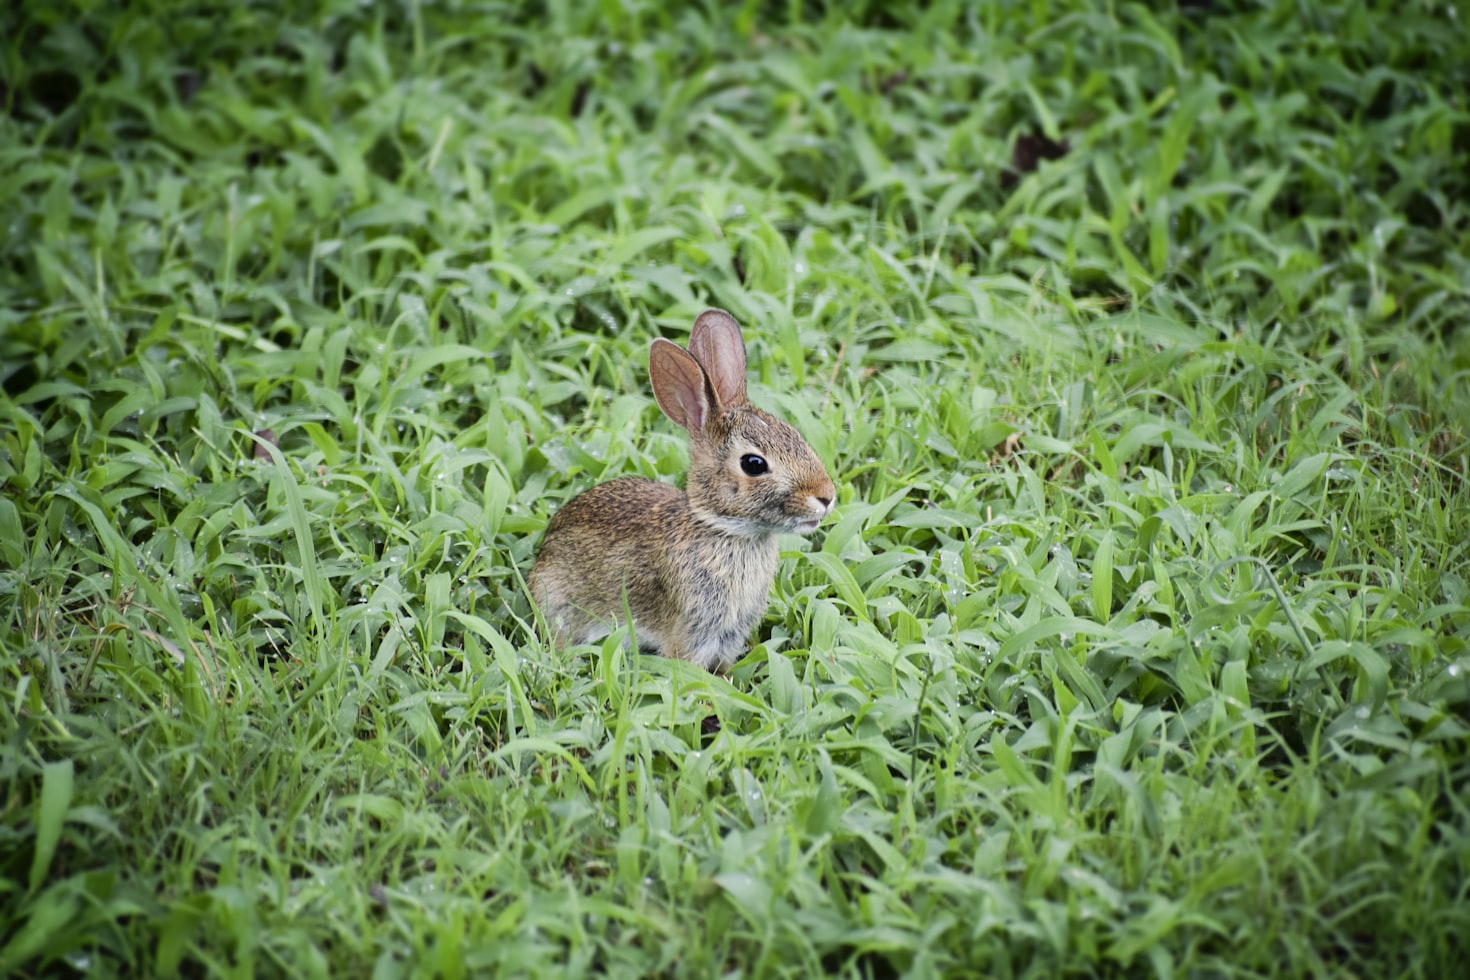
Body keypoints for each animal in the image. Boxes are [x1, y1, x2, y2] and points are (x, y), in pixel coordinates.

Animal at [529, 308, 834, 675]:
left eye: (794, 434)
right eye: (754, 464)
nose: (827, 496)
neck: (725, 528)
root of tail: (544, 552)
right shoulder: (692, 633)